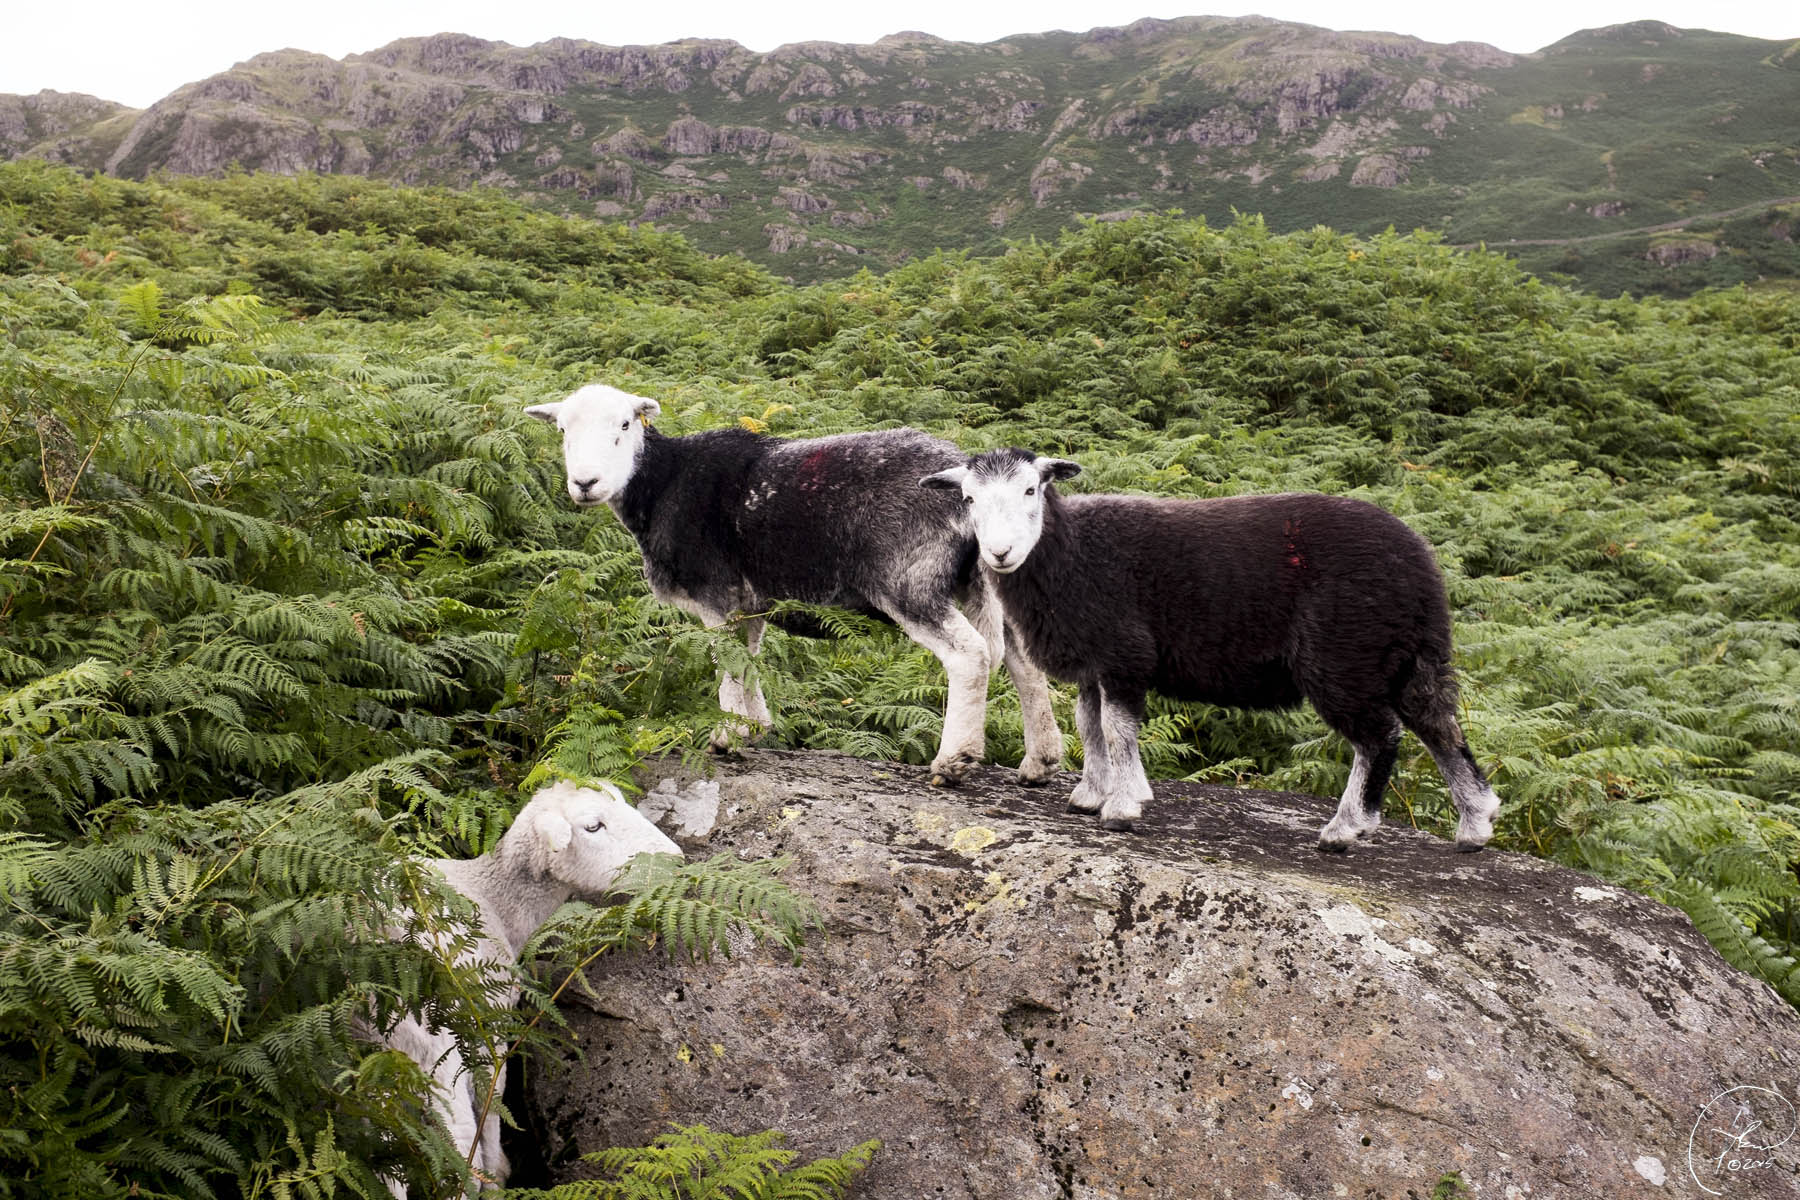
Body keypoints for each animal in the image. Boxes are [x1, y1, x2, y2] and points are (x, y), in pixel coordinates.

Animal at [382, 781, 680, 1195]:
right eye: (592, 826)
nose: (676, 861)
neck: (492, 896)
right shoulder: (487, 1027)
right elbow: (492, 1100)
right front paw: (497, 1176)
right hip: (433, 1045)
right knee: (458, 1146)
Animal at [525, 384, 1061, 786]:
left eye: (624, 425)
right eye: (562, 429)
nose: (585, 483)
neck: (662, 483)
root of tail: (966, 483)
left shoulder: (715, 595)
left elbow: (728, 664)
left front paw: (727, 737)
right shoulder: (750, 603)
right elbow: (748, 660)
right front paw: (756, 727)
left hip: (909, 579)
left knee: (970, 656)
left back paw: (954, 761)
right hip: (995, 568)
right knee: (1023, 661)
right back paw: (1040, 762)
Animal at [921, 448, 1501, 852]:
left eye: (1030, 491)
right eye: (968, 499)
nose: (999, 553)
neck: (1071, 551)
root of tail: (1422, 567)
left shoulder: (1125, 653)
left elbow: (1116, 728)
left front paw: (1123, 805)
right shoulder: (1093, 661)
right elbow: (1089, 726)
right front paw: (1091, 794)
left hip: (1344, 656)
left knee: (1380, 737)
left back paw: (1346, 829)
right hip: (1406, 656)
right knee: (1440, 726)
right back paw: (1475, 823)